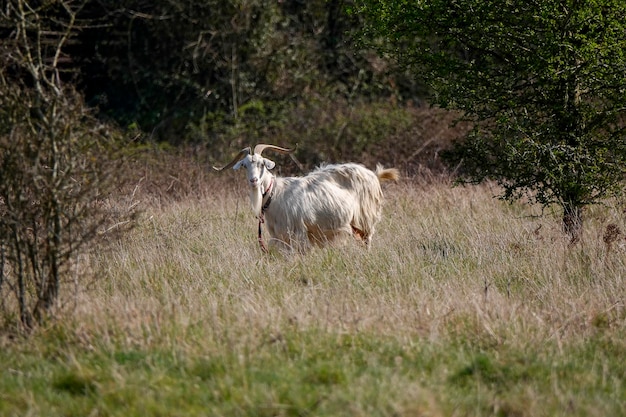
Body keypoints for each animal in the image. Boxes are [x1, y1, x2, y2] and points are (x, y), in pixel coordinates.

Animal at [214, 145, 398, 252]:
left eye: (261, 164)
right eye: (245, 165)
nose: (254, 181)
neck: (275, 194)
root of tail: (374, 174)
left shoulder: (299, 232)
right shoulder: (280, 236)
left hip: (366, 217)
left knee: (368, 240)